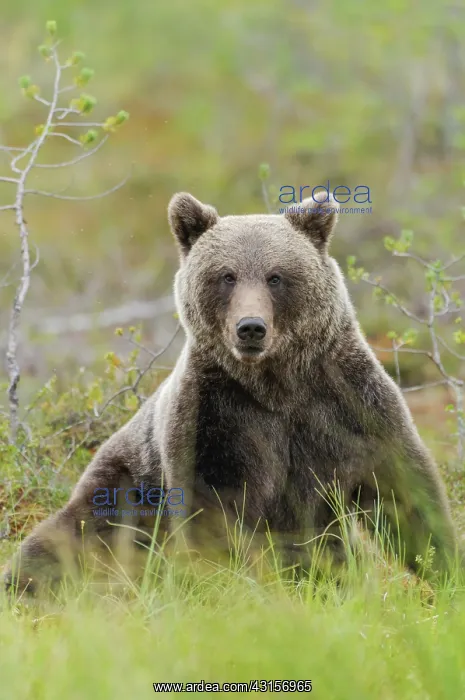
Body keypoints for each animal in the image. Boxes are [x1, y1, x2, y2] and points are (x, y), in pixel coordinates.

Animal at [4, 190, 458, 594]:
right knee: (73, 540)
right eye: (227, 275)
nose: (250, 327)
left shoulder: (345, 402)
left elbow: (401, 487)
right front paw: (229, 585)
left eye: (276, 276)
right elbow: (213, 508)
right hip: (124, 484)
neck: (275, 384)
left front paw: (445, 568)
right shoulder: (215, 416)